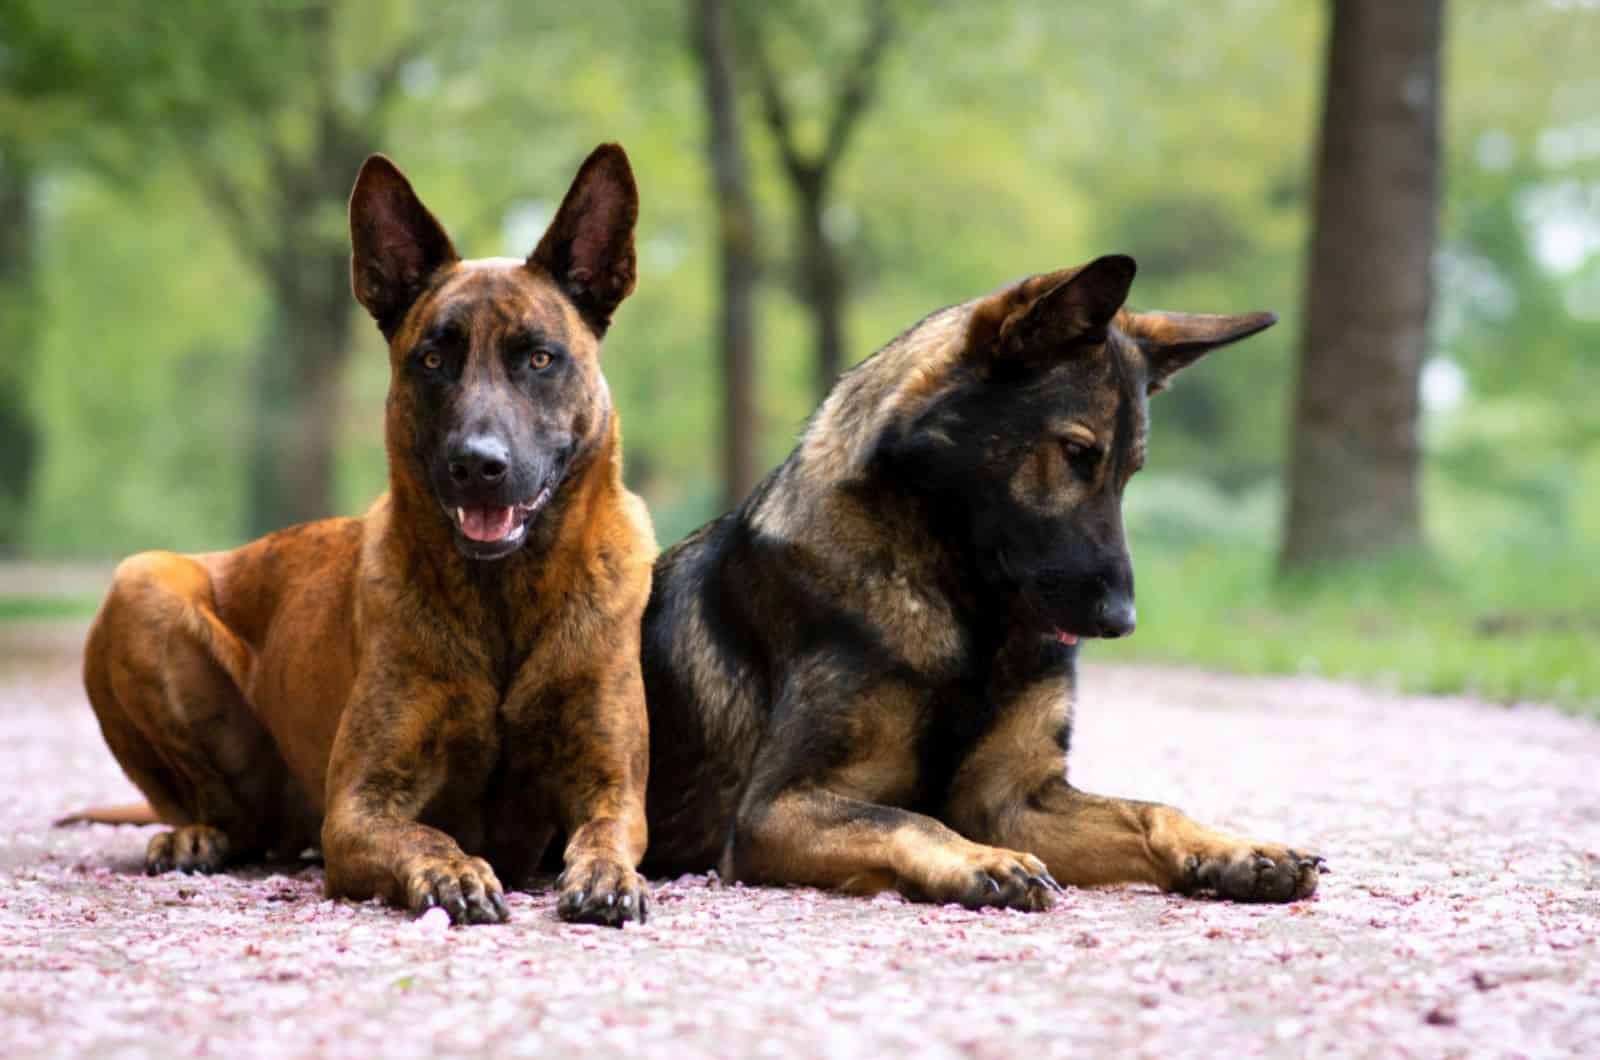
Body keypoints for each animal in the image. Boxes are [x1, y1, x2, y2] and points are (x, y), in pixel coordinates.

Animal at [72, 143, 659, 928]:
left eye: (539, 358)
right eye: (432, 360)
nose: (477, 466)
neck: (502, 599)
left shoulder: (611, 784)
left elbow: (605, 831)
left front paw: (605, 875)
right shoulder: (357, 808)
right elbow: (424, 834)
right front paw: (454, 870)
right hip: (143, 583)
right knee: (223, 808)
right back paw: (197, 834)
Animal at [636, 252, 1324, 909]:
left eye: (1130, 472)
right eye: (1076, 453)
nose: (1120, 621)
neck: (964, 611)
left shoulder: (1015, 801)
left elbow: (1152, 809)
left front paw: (1236, 849)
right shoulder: (775, 808)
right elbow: (908, 818)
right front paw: (979, 861)